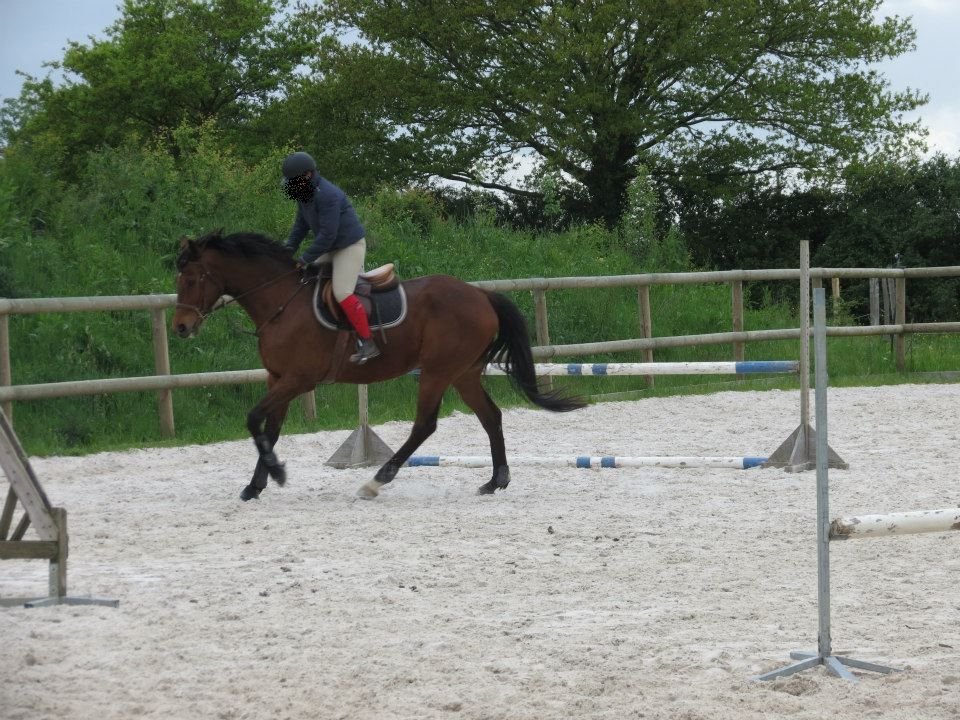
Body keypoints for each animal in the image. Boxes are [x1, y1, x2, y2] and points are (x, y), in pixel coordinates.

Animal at [172, 230, 584, 500]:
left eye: (191, 279)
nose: (180, 327)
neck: (281, 302)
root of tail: (480, 295)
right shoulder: (278, 379)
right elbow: (268, 430)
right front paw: (255, 485)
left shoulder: (299, 379)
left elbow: (253, 418)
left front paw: (276, 472)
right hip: (462, 373)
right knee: (490, 416)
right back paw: (496, 480)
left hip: (437, 372)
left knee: (425, 425)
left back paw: (376, 480)